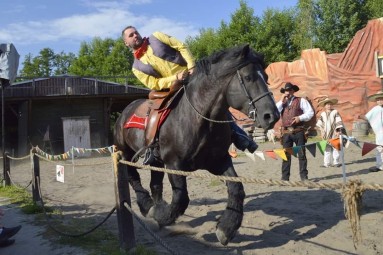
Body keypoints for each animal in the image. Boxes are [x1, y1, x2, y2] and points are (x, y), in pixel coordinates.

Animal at [113, 44, 280, 245]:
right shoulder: (174, 165)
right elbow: (180, 199)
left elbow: (237, 189)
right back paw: (147, 206)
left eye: (267, 77)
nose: (272, 116)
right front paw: (159, 215)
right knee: (133, 177)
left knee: (155, 185)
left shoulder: (219, 161)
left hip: (155, 161)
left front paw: (227, 228)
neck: (198, 118)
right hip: (126, 153)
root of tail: (124, 112)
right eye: (248, 77)